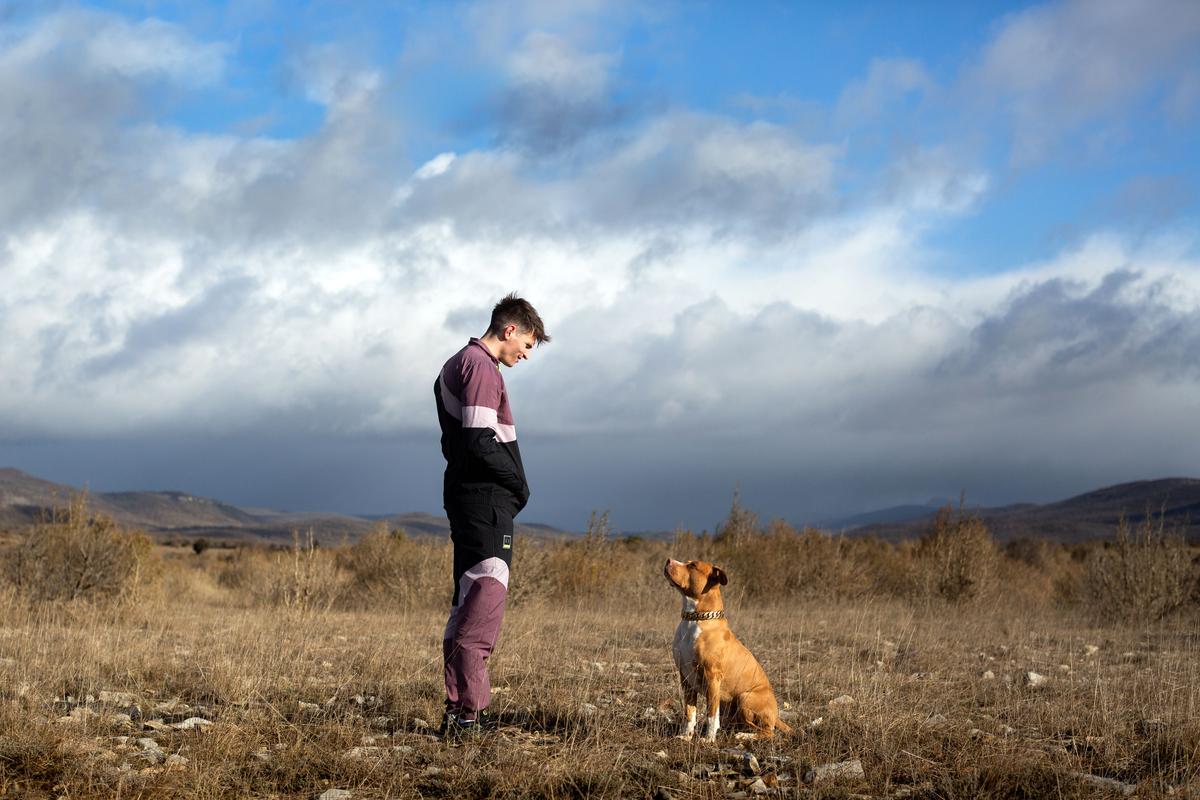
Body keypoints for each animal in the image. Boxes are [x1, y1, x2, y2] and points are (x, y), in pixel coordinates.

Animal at [662, 561, 792, 743]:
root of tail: (776, 715)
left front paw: (708, 739)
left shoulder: (712, 677)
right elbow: (690, 712)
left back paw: (744, 736)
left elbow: (711, 714)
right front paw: (686, 736)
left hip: (745, 697)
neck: (695, 618)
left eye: (693, 565)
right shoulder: (685, 677)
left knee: (767, 731)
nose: (668, 560)